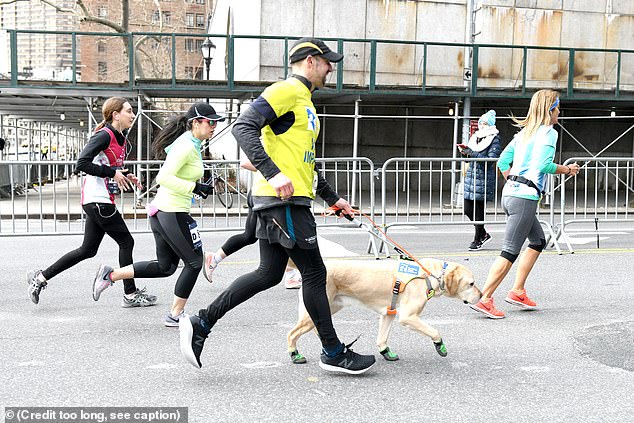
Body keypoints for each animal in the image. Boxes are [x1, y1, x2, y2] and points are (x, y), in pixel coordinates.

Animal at [286, 258, 478, 364]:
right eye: (471, 283)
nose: (481, 296)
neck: (430, 275)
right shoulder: (408, 316)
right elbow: (435, 331)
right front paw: (440, 345)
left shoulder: (388, 314)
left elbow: (382, 338)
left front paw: (385, 352)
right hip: (312, 314)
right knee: (291, 334)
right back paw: (295, 355)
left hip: (327, 309)